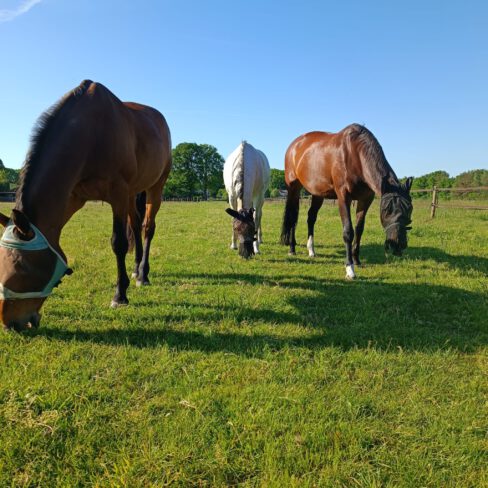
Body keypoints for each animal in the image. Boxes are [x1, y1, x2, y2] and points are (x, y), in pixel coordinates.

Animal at [0, 80, 172, 331]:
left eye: (23, 267)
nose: (9, 323)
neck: (91, 133)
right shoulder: (73, 197)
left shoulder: (118, 194)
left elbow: (118, 243)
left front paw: (120, 295)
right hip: (132, 195)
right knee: (136, 224)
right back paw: (136, 268)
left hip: (155, 187)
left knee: (148, 227)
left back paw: (143, 274)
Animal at [281, 124, 413, 279]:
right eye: (386, 210)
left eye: (410, 208)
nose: (397, 244)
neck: (355, 155)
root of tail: (294, 146)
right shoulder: (343, 197)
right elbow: (348, 231)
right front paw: (350, 268)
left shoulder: (365, 199)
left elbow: (359, 229)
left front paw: (357, 260)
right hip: (294, 189)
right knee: (292, 217)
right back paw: (292, 248)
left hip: (318, 194)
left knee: (311, 218)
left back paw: (311, 250)